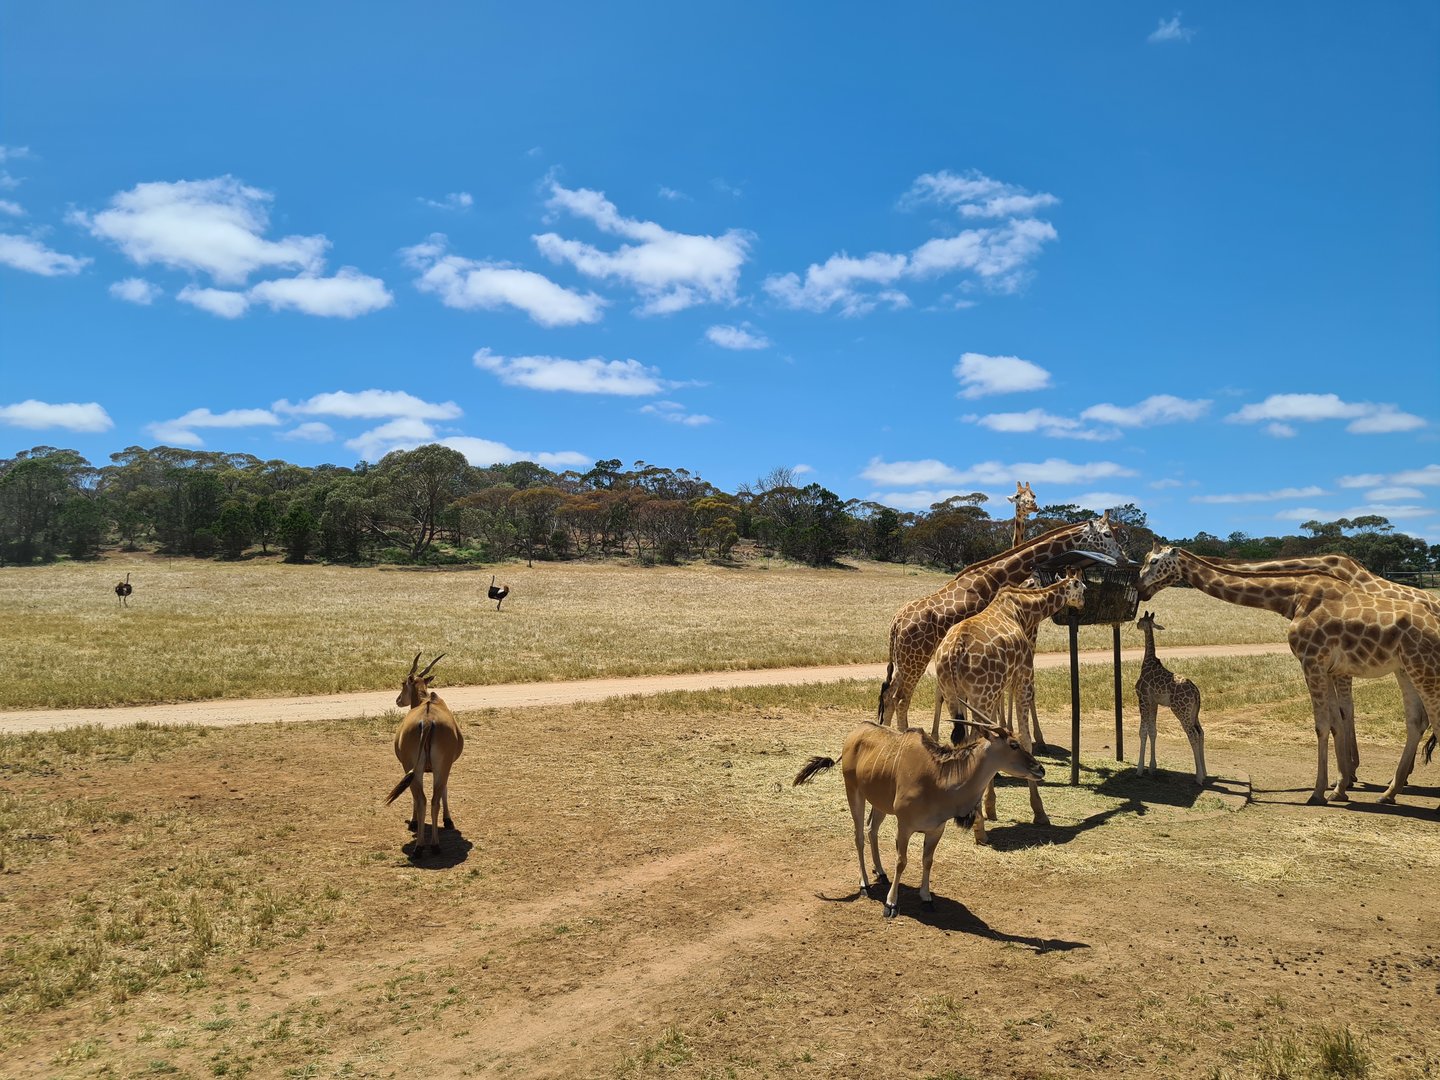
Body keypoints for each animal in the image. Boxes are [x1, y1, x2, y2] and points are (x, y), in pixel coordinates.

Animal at [878, 513, 1123, 731]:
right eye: (1107, 534)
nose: (1122, 557)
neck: (995, 576)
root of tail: (895, 624)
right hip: (916, 660)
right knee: (901, 699)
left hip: (903, 661)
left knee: (889, 696)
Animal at [931, 569, 1086, 844]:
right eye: (1083, 588)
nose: (1084, 605)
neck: (1022, 610)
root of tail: (954, 652)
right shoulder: (1023, 675)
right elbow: (1023, 738)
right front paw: (1039, 812)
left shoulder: (995, 692)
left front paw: (991, 806)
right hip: (981, 693)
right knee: (975, 742)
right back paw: (980, 830)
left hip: (954, 695)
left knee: (962, 741)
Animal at [1134, 610, 1206, 785]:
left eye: (1141, 620)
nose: (1137, 625)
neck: (1147, 662)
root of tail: (1196, 692)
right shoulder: (1154, 702)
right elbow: (1153, 731)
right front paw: (1152, 768)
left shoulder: (1143, 699)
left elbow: (1143, 731)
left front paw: (1139, 770)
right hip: (1194, 712)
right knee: (1201, 733)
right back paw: (1204, 773)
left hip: (1181, 710)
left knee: (1193, 735)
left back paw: (1199, 778)